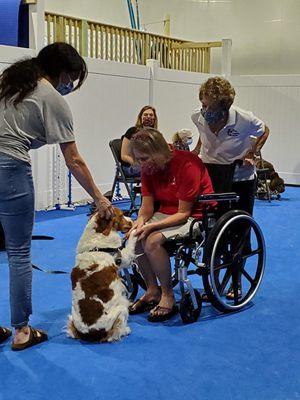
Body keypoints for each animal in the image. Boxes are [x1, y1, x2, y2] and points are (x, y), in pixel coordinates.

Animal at [67, 208, 137, 342]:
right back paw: (125, 330)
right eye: (121, 215)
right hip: (121, 308)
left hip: (71, 317)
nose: (132, 220)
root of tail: (90, 334)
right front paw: (135, 230)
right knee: (114, 334)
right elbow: (130, 244)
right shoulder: (123, 258)